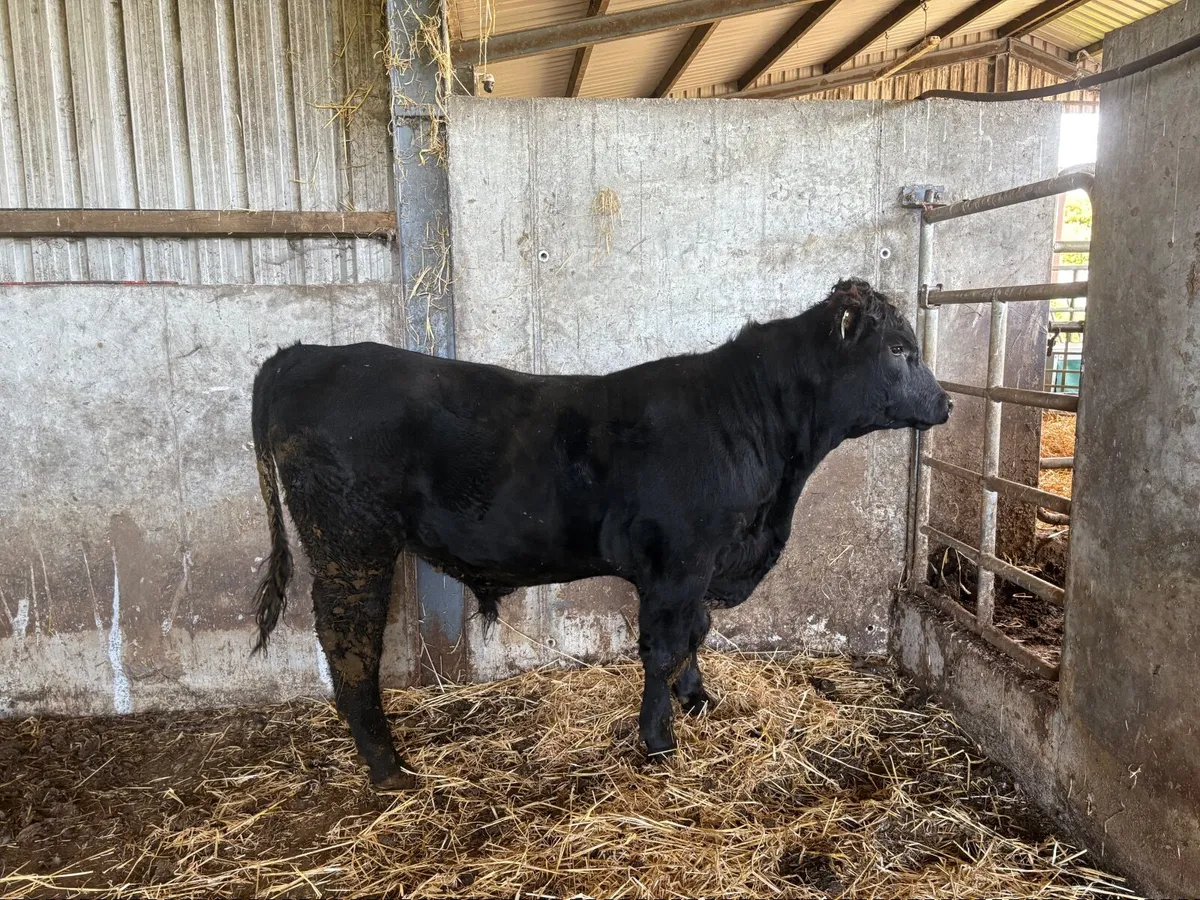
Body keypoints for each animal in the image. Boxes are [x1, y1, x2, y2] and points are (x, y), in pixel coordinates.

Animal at [249, 277, 951, 791]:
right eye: (898, 350)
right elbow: (664, 647)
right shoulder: (679, 562)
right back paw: (389, 767)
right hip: (348, 540)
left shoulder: (699, 567)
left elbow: (695, 634)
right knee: (348, 643)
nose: (945, 403)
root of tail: (306, 354)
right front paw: (659, 740)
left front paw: (699, 701)